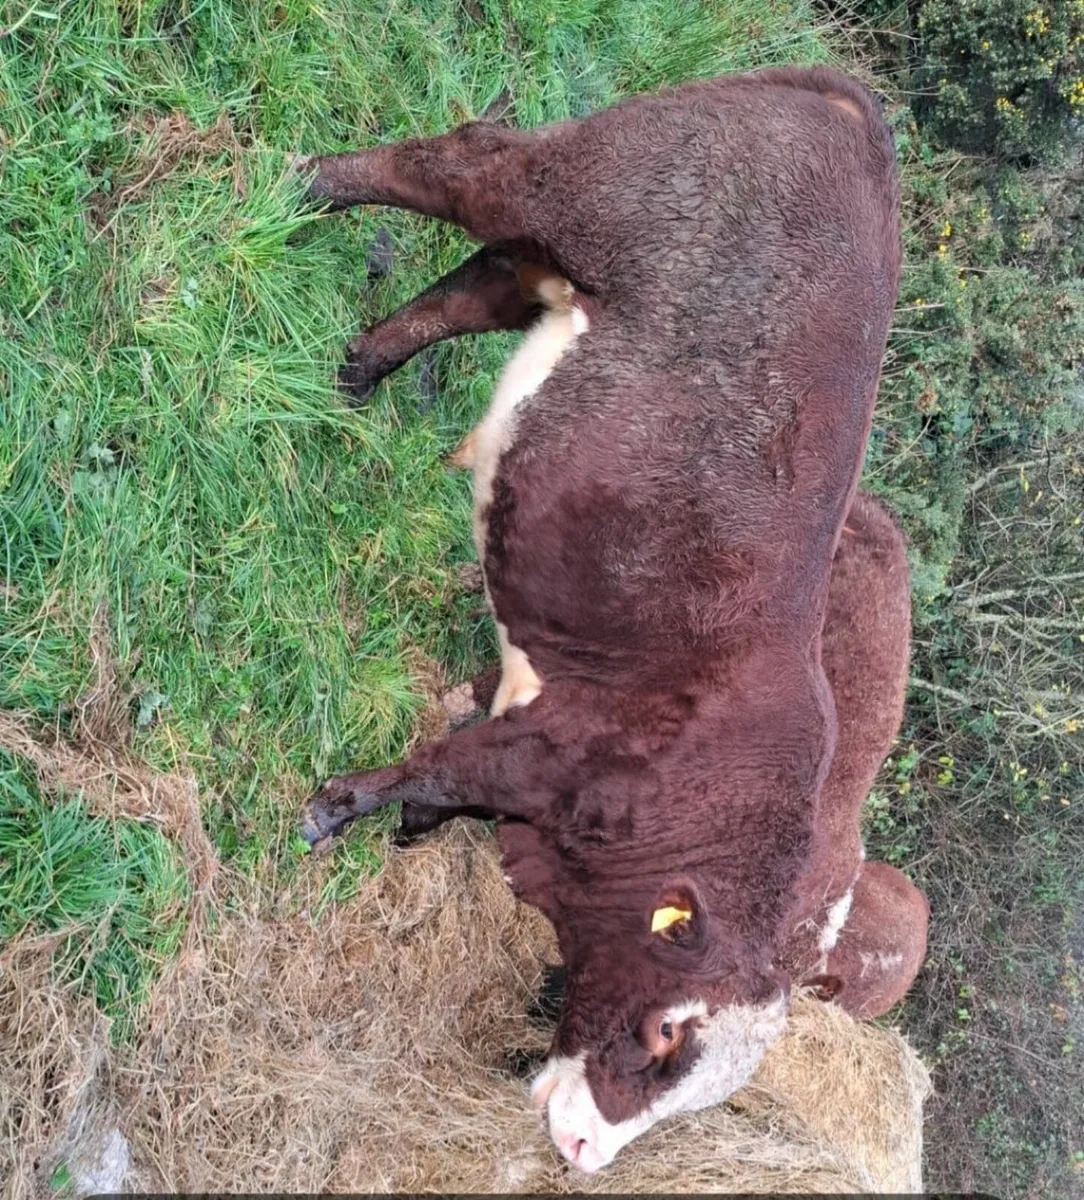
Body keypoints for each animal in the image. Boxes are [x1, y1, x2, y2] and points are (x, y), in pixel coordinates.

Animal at [296, 65, 927, 1171]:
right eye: (666, 1033)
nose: (588, 1148)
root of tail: (855, 112)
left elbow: (444, 789)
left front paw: (409, 827)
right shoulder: (540, 752)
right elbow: (432, 770)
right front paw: (337, 807)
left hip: (559, 282)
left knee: (472, 285)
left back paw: (359, 370)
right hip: (567, 188)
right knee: (453, 164)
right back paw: (312, 185)